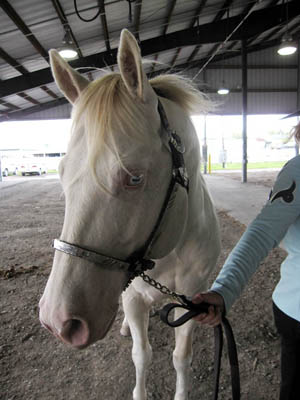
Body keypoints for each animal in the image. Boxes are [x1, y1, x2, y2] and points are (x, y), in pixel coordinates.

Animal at [38, 28, 219, 400]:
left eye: (134, 178)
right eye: (61, 172)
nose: (58, 321)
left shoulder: (190, 301)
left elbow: (181, 357)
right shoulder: (134, 298)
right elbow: (142, 353)